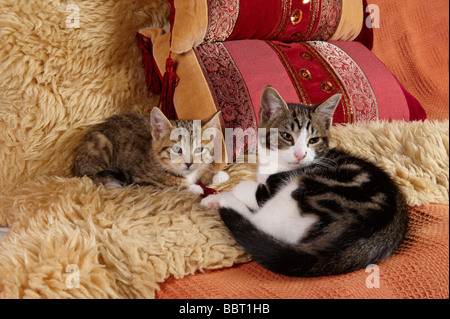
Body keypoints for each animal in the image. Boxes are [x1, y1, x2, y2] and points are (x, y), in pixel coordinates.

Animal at [74, 107, 229, 194]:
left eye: (199, 149)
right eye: (177, 149)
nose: (189, 164)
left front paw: (215, 175)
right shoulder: (140, 181)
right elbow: (167, 187)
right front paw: (193, 188)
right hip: (100, 143)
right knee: (92, 176)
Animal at [202, 87, 410, 278]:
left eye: (313, 140)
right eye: (287, 136)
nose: (300, 155)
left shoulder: (273, 187)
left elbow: (248, 188)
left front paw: (227, 194)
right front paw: (212, 198)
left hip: (304, 188)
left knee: (262, 221)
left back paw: (227, 204)